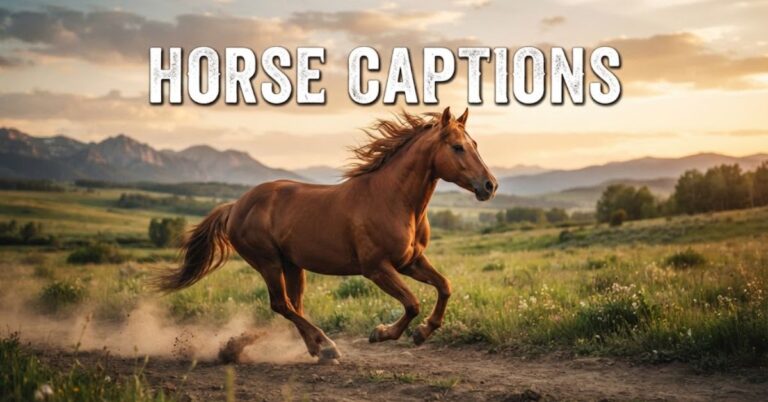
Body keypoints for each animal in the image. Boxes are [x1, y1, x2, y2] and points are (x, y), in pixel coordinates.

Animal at [155, 107, 498, 361]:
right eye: (457, 147)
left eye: (476, 145)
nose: (490, 185)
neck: (394, 200)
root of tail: (235, 206)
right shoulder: (377, 268)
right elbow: (412, 303)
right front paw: (382, 333)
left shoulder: (410, 261)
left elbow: (445, 287)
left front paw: (422, 333)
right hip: (268, 262)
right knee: (281, 305)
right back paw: (327, 347)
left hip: (293, 265)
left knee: (293, 305)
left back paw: (316, 349)